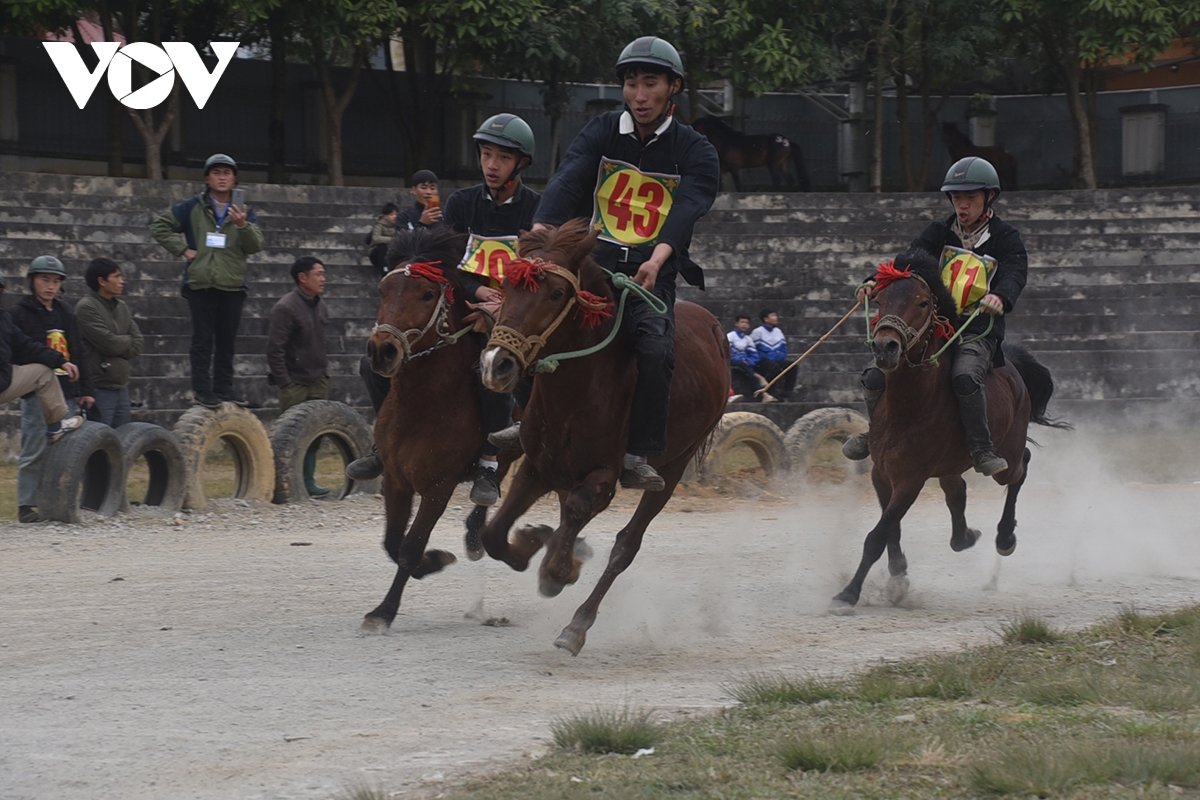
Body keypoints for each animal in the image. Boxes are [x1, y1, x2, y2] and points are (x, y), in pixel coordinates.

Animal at [360, 226, 513, 632]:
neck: (421, 406)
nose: (382, 350)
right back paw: (474, 535)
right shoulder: (395, 479)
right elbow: (392, 542)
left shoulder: (438, 486)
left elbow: (410, 546)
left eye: (427, 294)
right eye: (382, 291)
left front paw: (384, 611)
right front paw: (436, 560)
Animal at [477, 219, 730, 655]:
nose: (498, 364)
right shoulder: (538, 466)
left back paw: (577, 624)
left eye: (556, 293)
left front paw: (558, 571)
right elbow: (494, 536)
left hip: (675, 465)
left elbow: (579, 515)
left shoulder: (603, 477)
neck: (583, 384)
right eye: (505, 286)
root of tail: (713, 328)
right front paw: (532, 543)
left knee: (626, 544)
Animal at [830, 249, 1066, 614]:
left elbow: (877, 535)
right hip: (950, 465)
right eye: (880, 299)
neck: (909, 408)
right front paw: (897, 576)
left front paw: (848, 593)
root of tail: (1012, 367)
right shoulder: (882, 474)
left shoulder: (910, 480)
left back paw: (1004, 537)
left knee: (1020, 467)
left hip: (1007, 455)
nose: (885, 347)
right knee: (957, 493)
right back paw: (966, 536)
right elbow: (891, 528)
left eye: (923, 302)